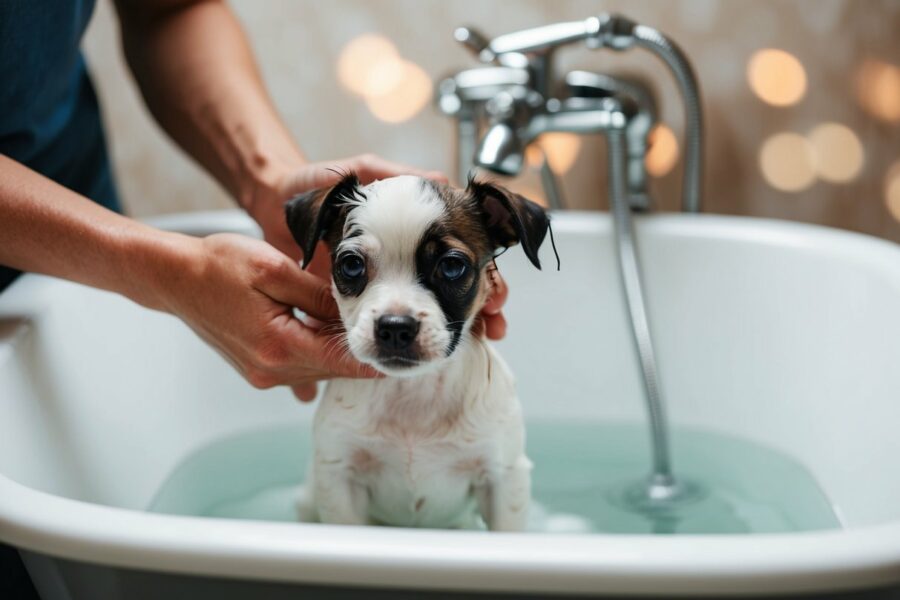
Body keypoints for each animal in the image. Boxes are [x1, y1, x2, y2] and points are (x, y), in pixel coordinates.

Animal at [284, 172, 552, 528]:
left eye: (451, 266)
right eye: (351, 265)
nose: (396, 326)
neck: (413, 392)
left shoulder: (503, 478)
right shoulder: (340, 476)